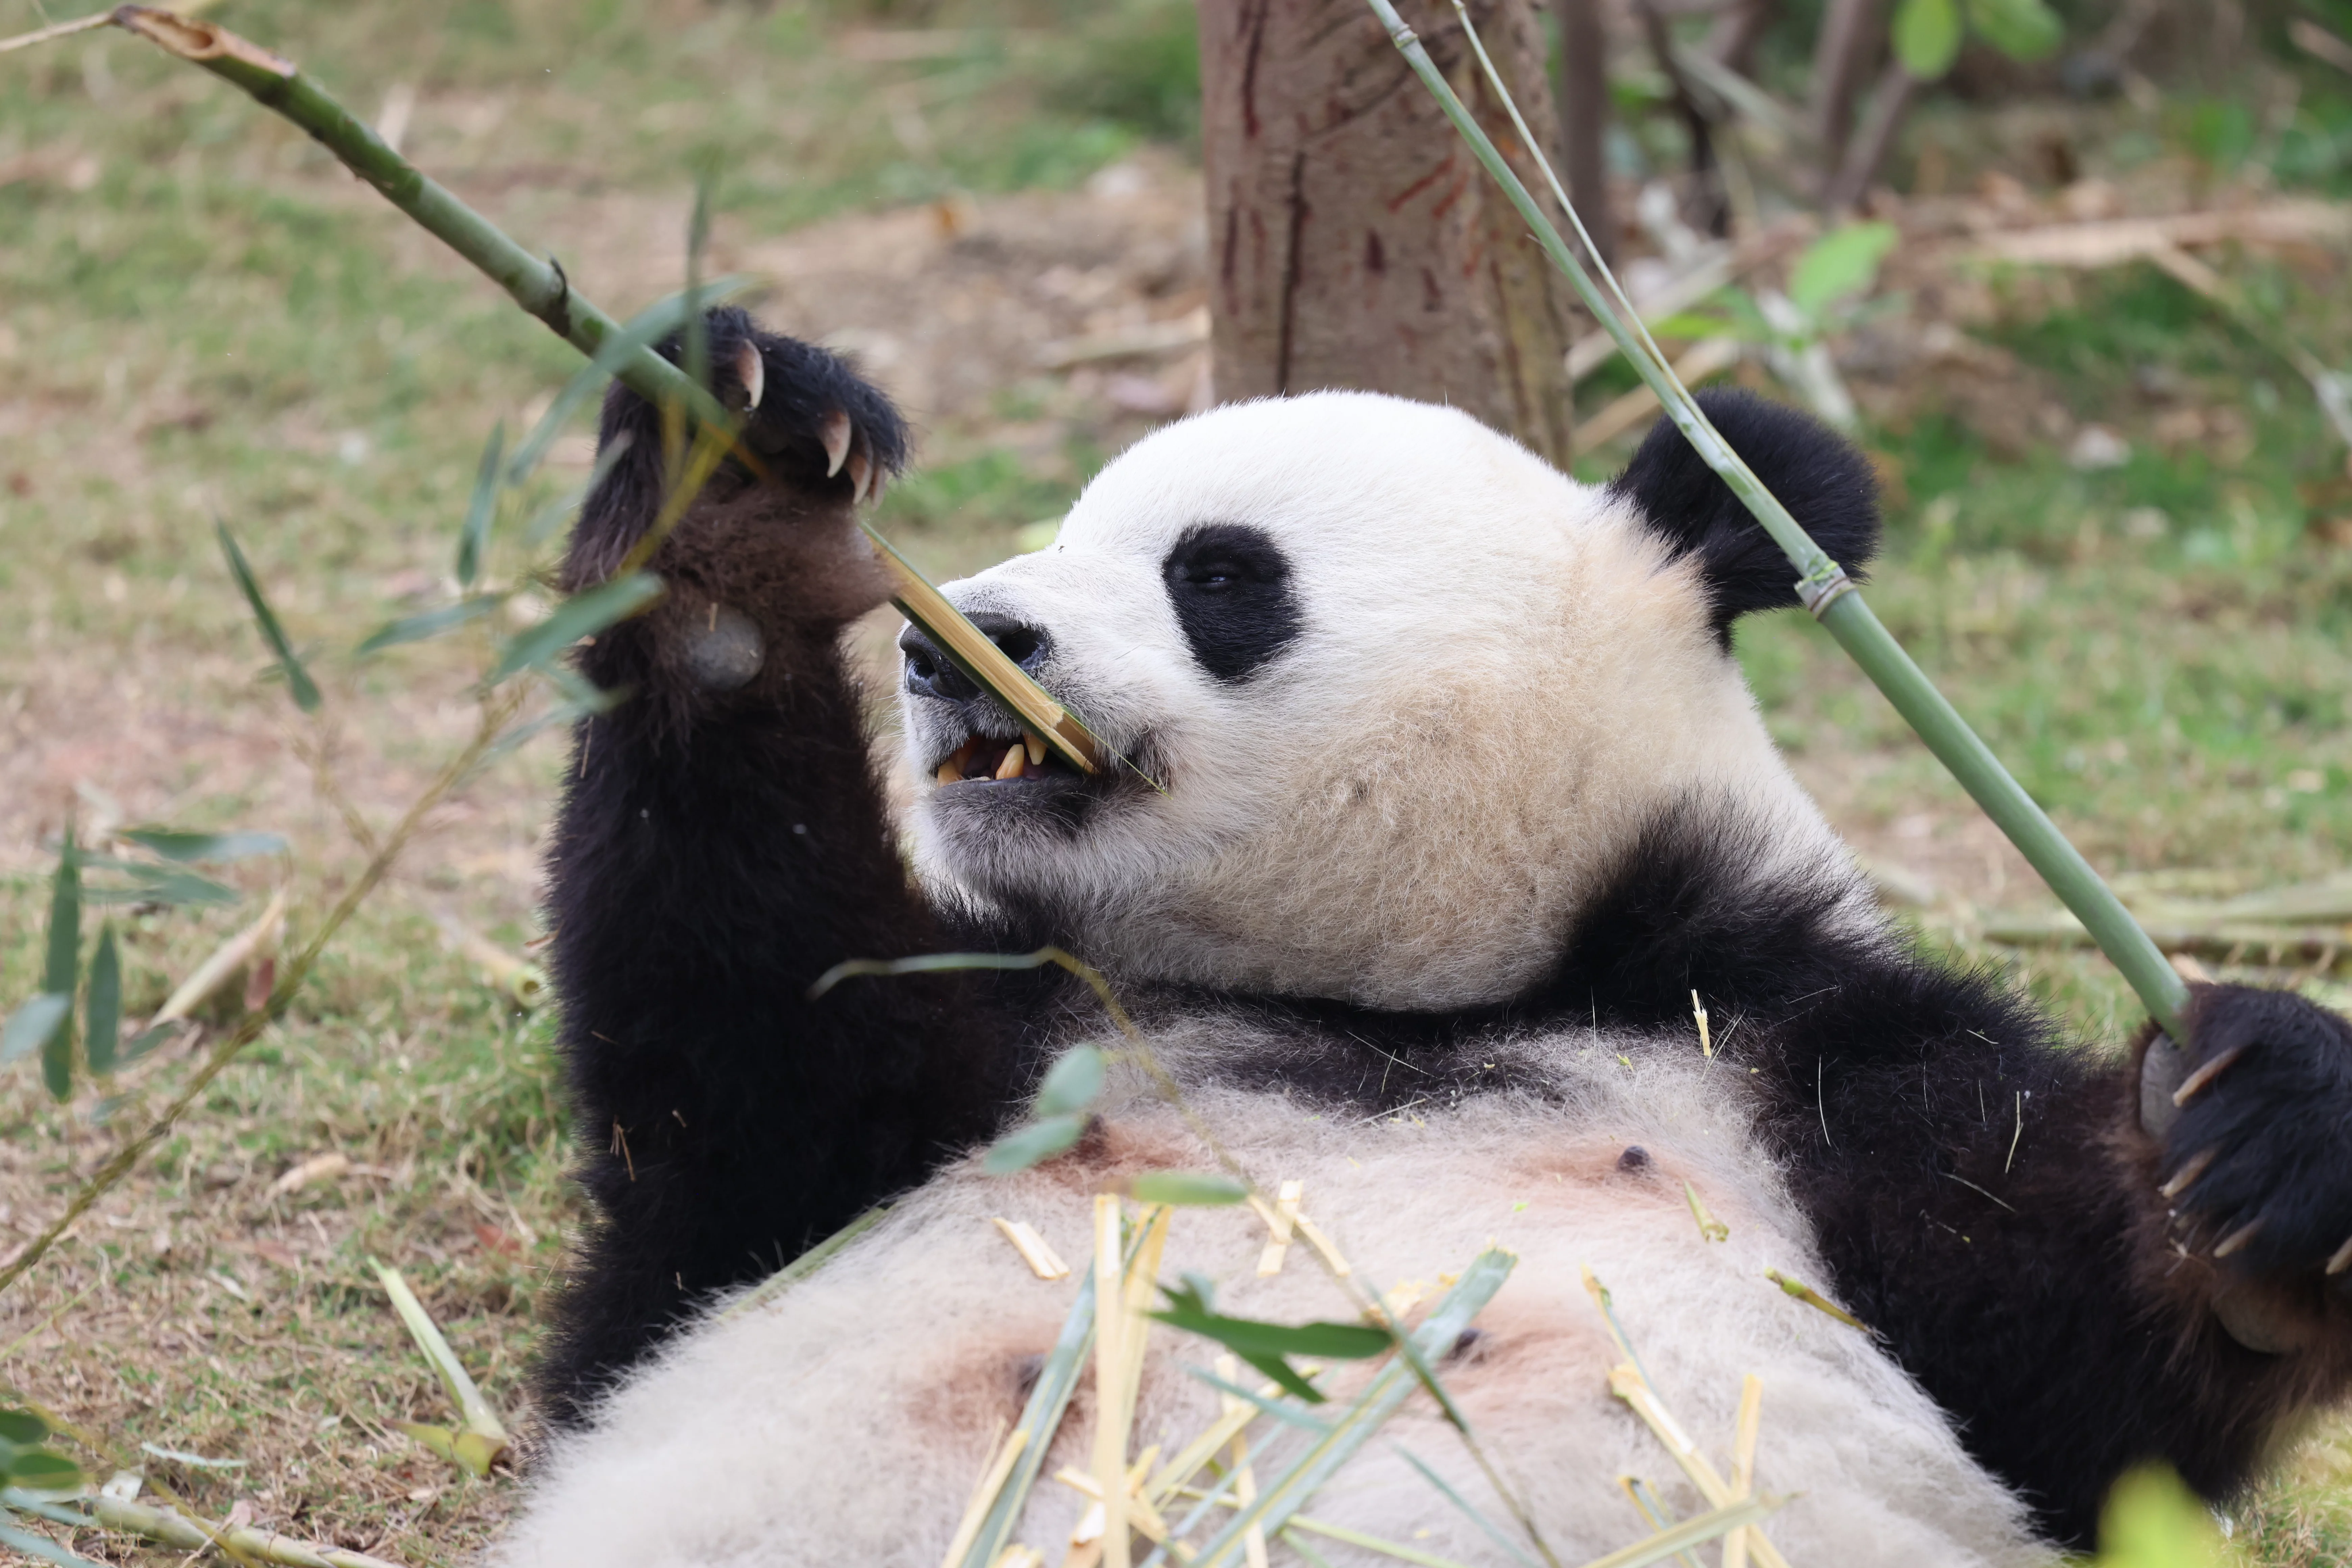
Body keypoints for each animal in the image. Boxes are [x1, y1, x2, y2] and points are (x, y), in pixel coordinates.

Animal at [497, 307, 2352, 1568]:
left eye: (1217, 573)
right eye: (1070, 534)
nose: (965, 645)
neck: (1396, 1000)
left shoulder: (1784, 1040)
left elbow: (2078, 1363)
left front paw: (2255, 1138)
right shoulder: (998, 1049)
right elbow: (741, 1045)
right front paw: (734, 478)